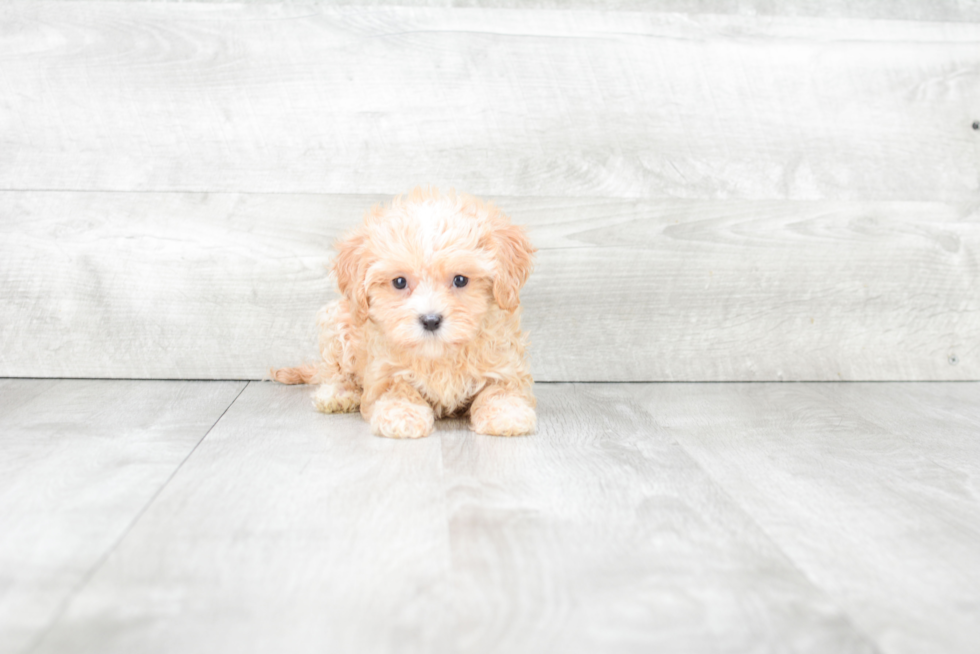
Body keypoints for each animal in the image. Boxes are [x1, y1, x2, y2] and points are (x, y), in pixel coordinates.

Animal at [274, 186, 536, 440]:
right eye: (399, 282)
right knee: (334, 372)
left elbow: (500, 390)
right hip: (336, 322)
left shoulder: (506, 367)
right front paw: (402, 416)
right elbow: (398, 390)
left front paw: (506, 414)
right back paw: (338, 394)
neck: (438, 356)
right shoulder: (383, 373)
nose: (430, 320)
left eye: (460, 280)